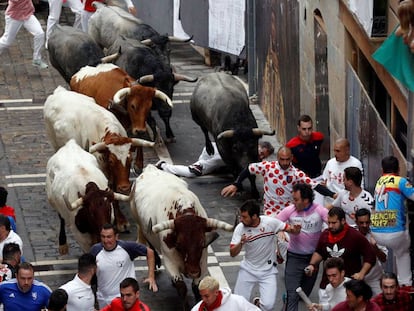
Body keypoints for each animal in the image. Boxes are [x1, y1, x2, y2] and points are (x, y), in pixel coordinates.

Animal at [129, 165, 233, 308]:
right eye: (178, 244)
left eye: (202, 243)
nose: (193, 272)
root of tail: (150, 168)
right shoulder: (170, 260)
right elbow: (181, 286)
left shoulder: (202, 260)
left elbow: (197, 286)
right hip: (141, 224)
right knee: (150, 245)